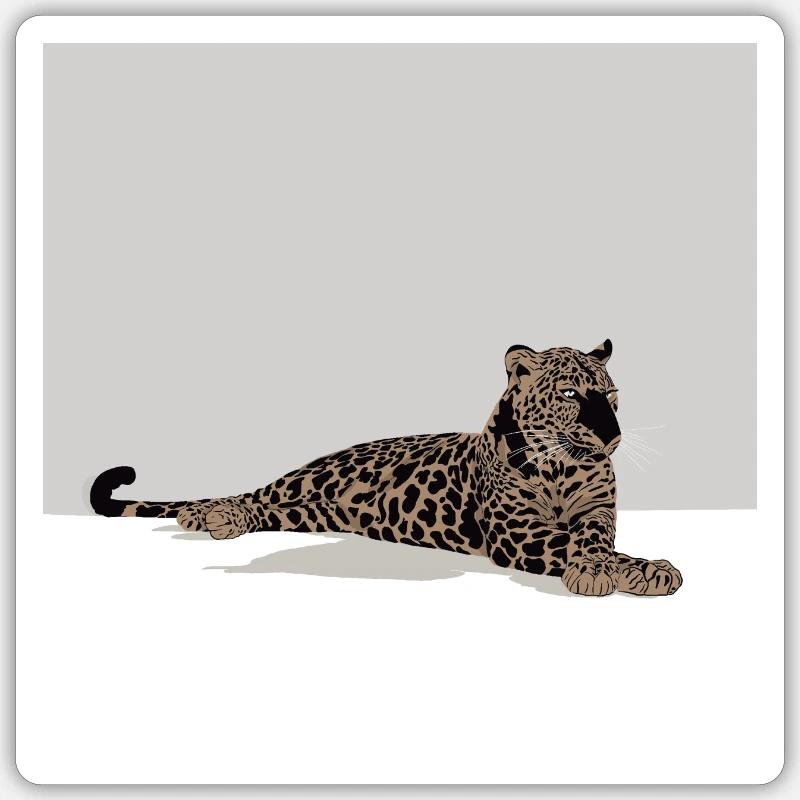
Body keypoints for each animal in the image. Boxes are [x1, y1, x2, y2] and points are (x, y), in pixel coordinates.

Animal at [90, 340, 682, 596]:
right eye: (569, 395)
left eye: (613, 397)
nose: (611, 435)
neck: (559, 469)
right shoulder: (517, 534)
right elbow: (577, 546)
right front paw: (637, 569)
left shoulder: (597, 511)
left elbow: (591, 539)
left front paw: (626, 567)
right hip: (312, 479)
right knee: (257, 494)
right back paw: (211, 515)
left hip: (313, 513)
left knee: (276, 508)